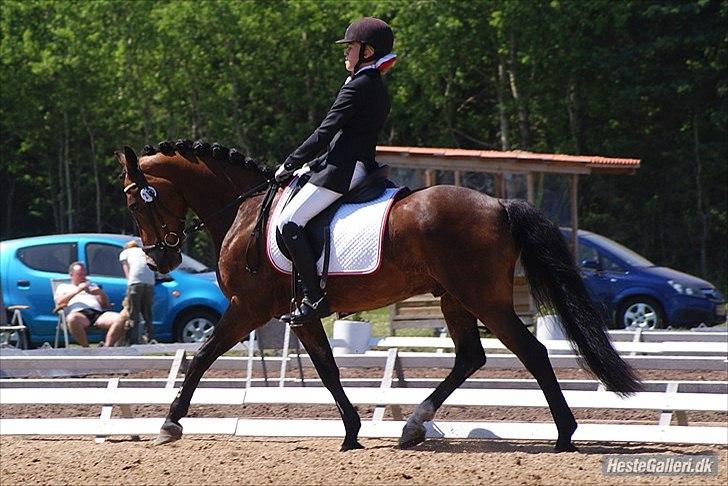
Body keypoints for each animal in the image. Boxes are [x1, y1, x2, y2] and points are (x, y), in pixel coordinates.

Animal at [117, 140, 641, 452]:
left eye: (135, 202)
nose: (159, 260)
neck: (246, 210)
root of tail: (499, 204)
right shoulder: (302, 314)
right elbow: (327, 370)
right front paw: (351, 431)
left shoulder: (248, 309)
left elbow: (203, 355)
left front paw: (170, 422)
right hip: (454, 298)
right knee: (470, 357)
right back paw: (414, 426)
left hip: (483, 298)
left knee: (531, 351)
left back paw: (564, 434)